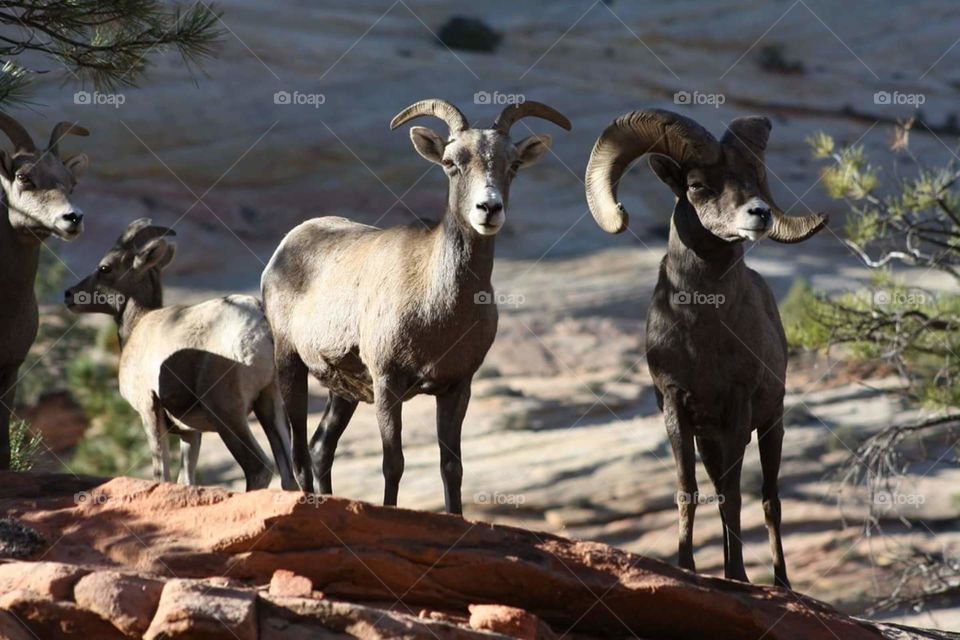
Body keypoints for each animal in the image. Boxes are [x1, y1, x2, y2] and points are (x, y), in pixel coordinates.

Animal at [65, 219, 299, 491]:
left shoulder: (149, 411)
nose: (69, 295)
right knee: (289, 476)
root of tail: (259, 323)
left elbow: (162, 474)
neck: (138, 325)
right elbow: (185, 480)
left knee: (258, 468)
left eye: (105, 267)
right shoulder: (190, 433)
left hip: (227, 413)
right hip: (270, 404)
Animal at [261, 99, 571, 511]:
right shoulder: (388, 383)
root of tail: (285, 247)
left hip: (343, 392)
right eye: (451, 162)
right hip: (289, 364)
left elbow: (451, 468)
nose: (488, 208)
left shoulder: (456, 387)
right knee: (298, 455)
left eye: (514, 164)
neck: (437, 306)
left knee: (321, 448)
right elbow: (393, 462)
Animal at [584, 109, 828, 588]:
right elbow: (689, 491)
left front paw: (737, 576)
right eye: (697, 185)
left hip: (771, 425)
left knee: (769, 500)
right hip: (712, 442)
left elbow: (734, 497)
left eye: (752, 179)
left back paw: (781, 583)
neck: (701, 333)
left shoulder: (737, 409)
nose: (759, 214)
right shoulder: (677, 409)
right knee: (720, 491)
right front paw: (687, 567)